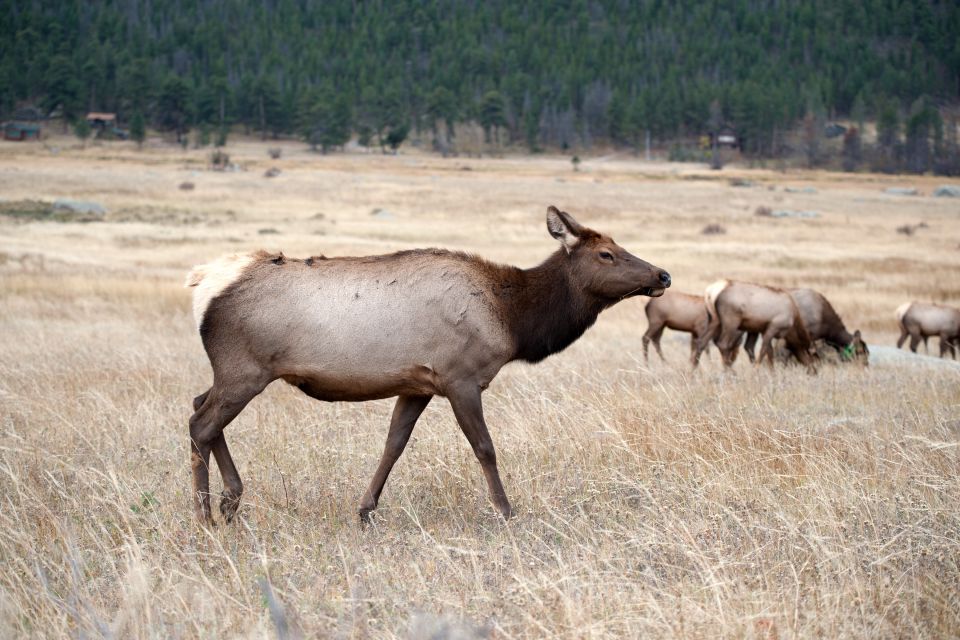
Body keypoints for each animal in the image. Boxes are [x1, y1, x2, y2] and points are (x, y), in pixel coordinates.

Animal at [184, 208, 672, 524]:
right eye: (606, 254)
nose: (663, 274)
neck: (514, 320)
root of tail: (204, 282)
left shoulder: (416, 384)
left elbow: (393, 446)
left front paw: (365, 509)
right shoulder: (461, 377)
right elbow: (485, 447)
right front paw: (506, 510)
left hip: (234, 372)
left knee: (197, 405)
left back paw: (230, 500)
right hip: (245, 370)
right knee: (200, 424)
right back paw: (206, 514)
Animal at [688, 278, 816, 372]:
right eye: (811, 356)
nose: (814, 371)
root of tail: (710, 292)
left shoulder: (756, 329)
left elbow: (761, 350)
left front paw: (770, 372)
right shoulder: (773, 327)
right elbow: (764, 350)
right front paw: (757, 370)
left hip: (714, 320)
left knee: (701, 342)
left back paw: (692, 372)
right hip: (731, 321)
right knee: (723, 344)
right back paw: (730, 372)